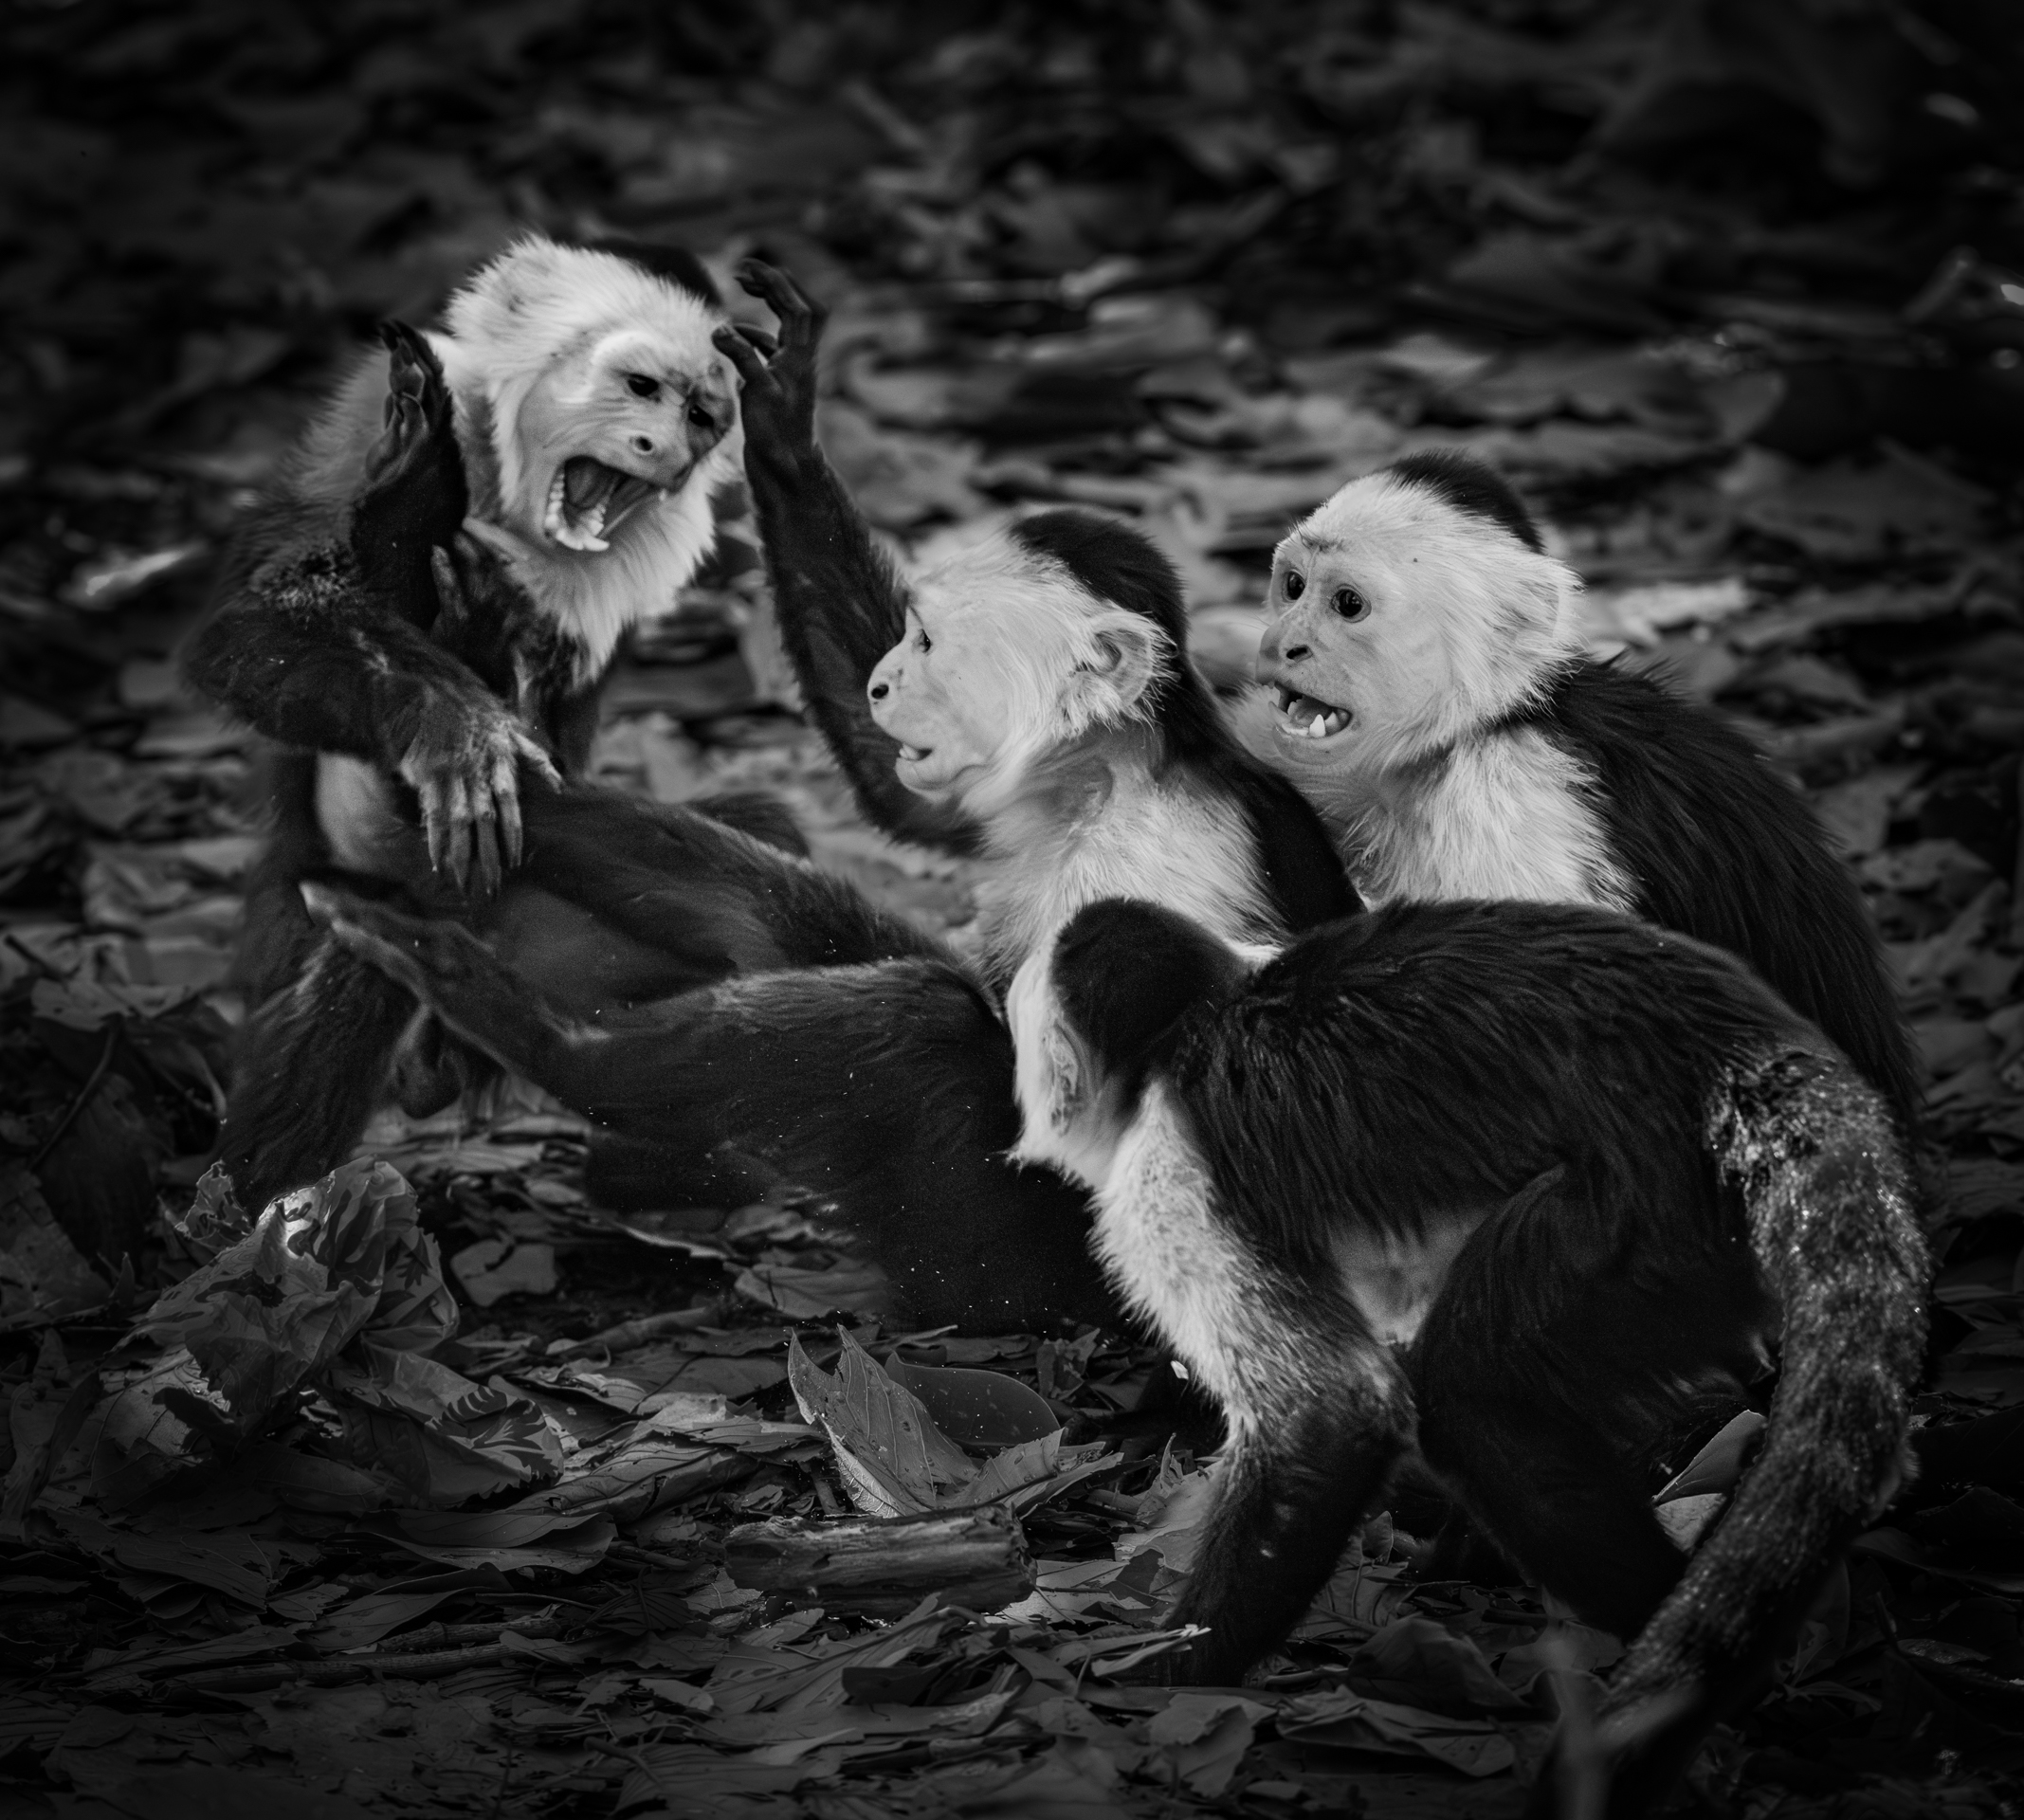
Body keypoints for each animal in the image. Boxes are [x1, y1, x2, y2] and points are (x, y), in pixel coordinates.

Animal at [181, 234, 745, 1211]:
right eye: (641, 389)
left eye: (703, 415)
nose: (669, 450)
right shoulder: (354, 429)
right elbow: (244, 630)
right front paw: (451, 721)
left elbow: (562, 747)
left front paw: (487, 640)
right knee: (349, 974)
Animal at [1008, 892, 1928, 1817]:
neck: (1193, 1025)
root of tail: (1750, 1064)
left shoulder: (1164, 1177)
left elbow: (1331, 1411)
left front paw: (1167, 1669)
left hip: (1649, 1220)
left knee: (1473, 1398)